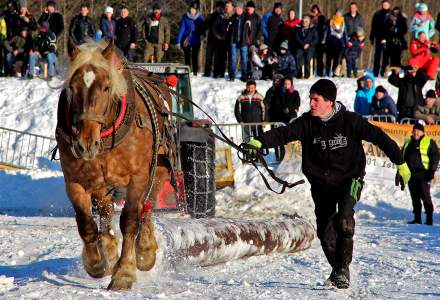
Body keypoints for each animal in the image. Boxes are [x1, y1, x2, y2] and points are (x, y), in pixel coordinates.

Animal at [56, 39, 175, 290]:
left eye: (106, 88)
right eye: (72, 87)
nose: (85, 143)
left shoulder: (139, 177)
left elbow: (130, 220)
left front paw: (124, 272)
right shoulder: (75, 181)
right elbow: (86, 224)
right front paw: (96, 262)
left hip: (159, 170)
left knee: (147, 207)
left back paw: (145, 250)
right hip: (101, 182)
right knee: (105, 211)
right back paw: (109, 249)